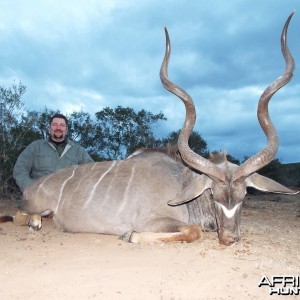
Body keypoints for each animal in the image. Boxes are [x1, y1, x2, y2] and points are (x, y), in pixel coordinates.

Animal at [1, 12, 298, 245]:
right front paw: (129, 235)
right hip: (34, 206)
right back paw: (35, 221)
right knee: (20, 215)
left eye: (245, 195)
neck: (182, 184)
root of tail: (32, 187)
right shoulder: (152, 220)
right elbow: (191, 231)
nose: (229, 238)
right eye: (213, 195)